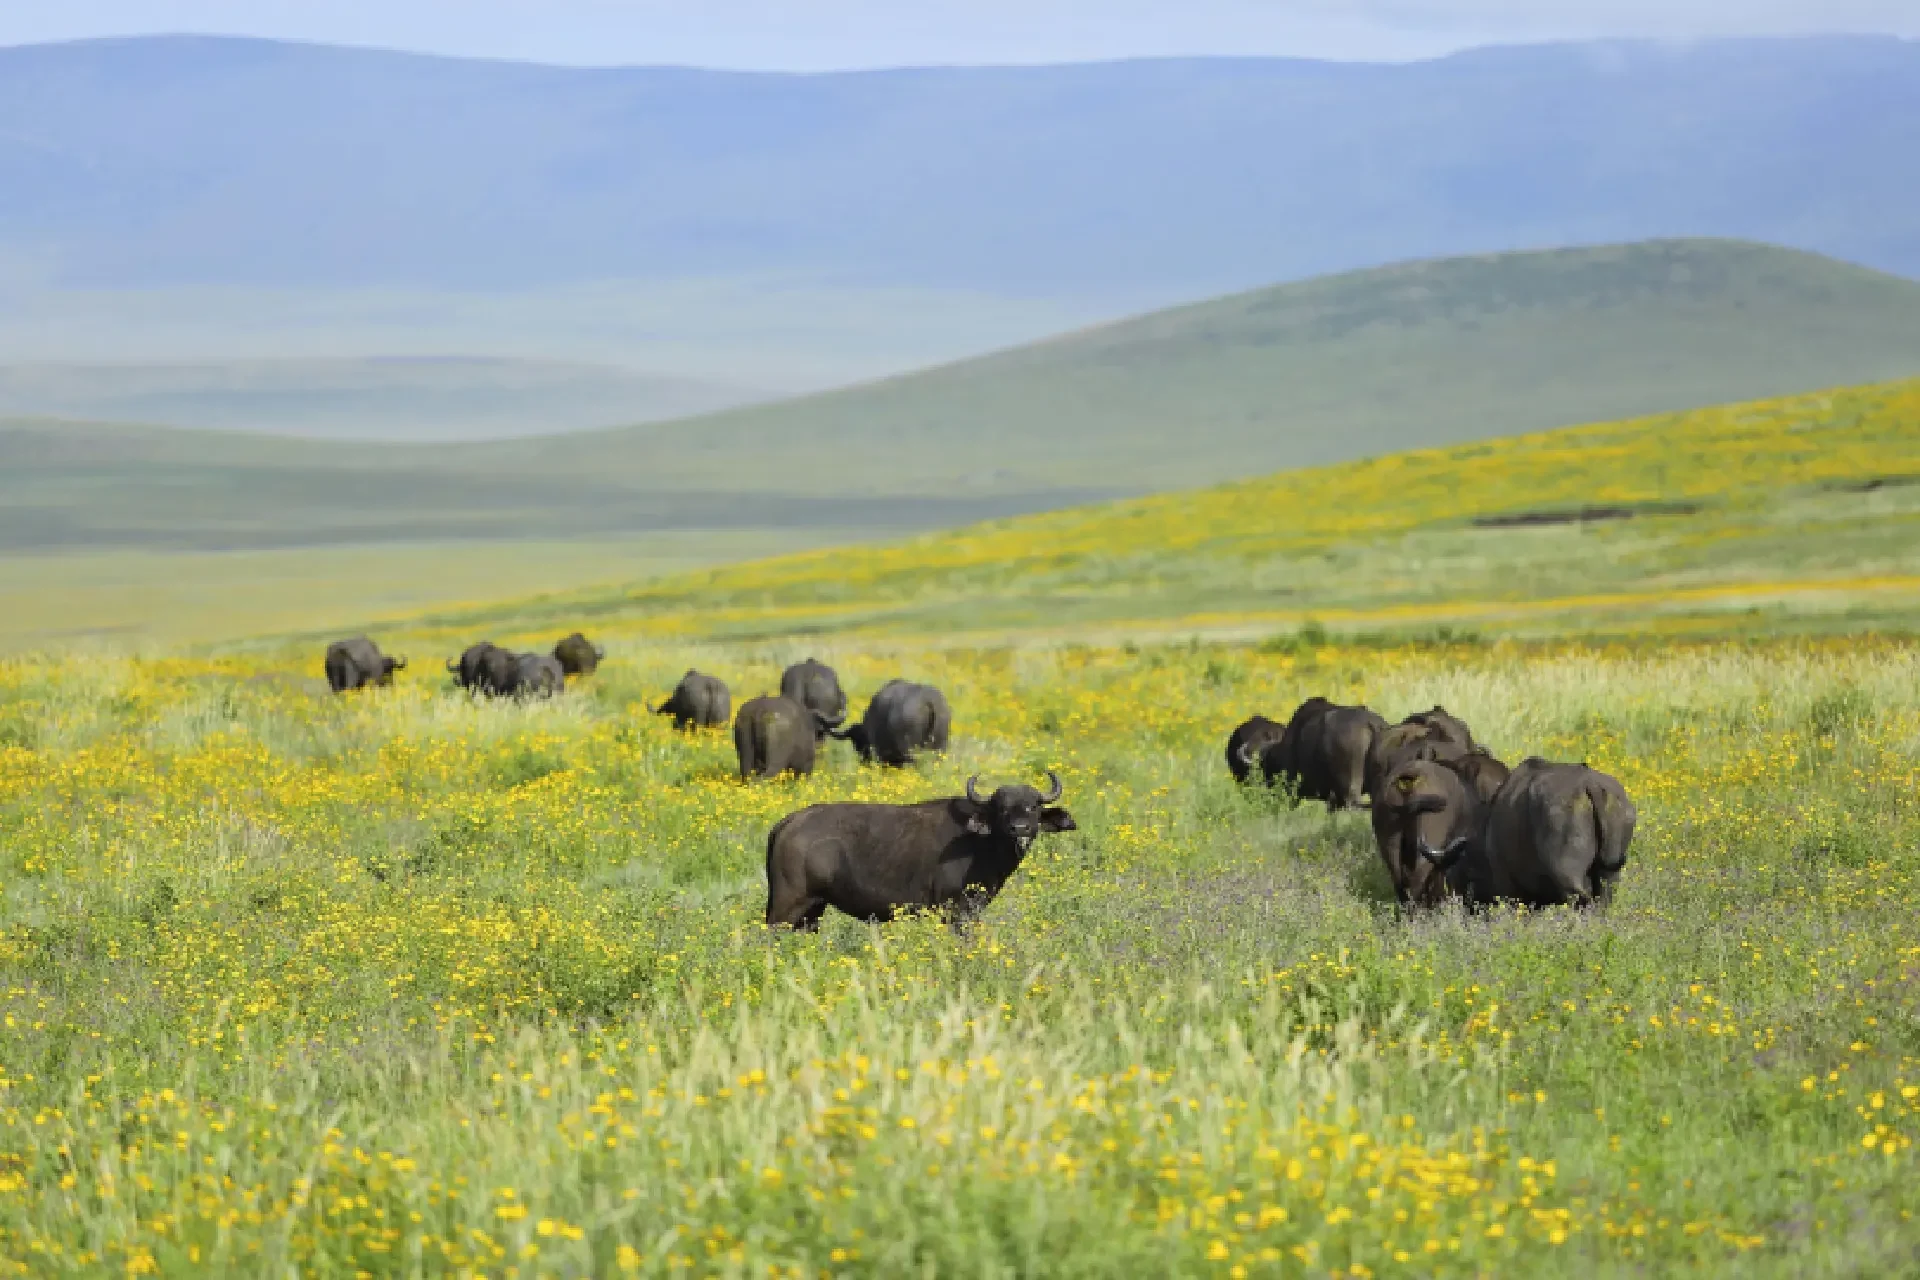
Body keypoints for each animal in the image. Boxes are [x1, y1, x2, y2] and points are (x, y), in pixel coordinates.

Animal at [768, 771, 1082, 932]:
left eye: (1033, 807)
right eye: (1001, 808)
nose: (1019, 828)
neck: (982, 843)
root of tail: (789, 821)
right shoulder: (957, 912)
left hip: (813, 910)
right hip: (785, 906)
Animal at [1428, 759, 1635, 909]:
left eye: (1459, 866)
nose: (1458, 897)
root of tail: (1590, 785)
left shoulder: (1509, 889)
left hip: (1568, 875)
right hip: (1610, 876)